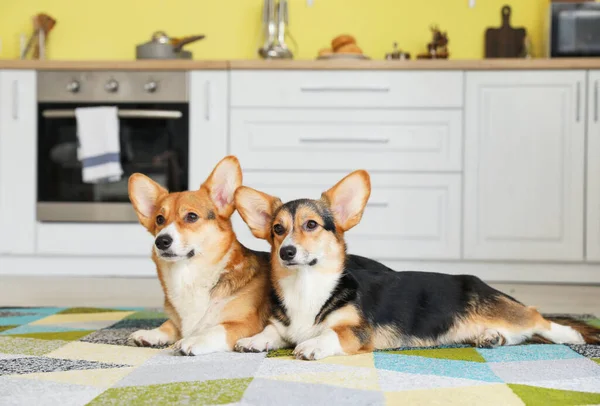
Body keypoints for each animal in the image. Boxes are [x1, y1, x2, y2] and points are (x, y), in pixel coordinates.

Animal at [128, 155, 270, 356]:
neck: (189, 275)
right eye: (159, 219)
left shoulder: (246, 324)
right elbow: (169, 325)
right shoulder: (178, 322)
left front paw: (193, 340)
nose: (161, 241)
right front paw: (150, 334)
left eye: (192, 216)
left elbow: (216, 329)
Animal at [233, 170, 600, 360]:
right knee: (519, 335)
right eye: (277, 229)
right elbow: (272, 332)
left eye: (310, 225)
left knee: (538, 318)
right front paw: (254, 340)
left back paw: (571, 335)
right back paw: (491, 338)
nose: (286, 252)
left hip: (506, 308)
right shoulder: (283, 326)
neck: (306, 287)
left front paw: (311, 345)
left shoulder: (358, 331)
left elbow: (331, 334)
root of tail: (481, 283)